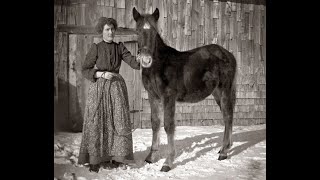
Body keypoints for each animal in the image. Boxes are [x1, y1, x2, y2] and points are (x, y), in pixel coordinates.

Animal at [133, 8, 238, 172]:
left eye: (155, 32)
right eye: (137, 31)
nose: (145, 60)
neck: (159, 65)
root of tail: (228, 54)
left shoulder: (168, 97)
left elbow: (168, 125)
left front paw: (167, 162)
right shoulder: (153, 96)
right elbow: (155, 123)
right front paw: (151, 157)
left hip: (225, 89)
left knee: (228, 116)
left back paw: (224, 152)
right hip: (217, 93)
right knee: (228, 116)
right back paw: (224, 148)